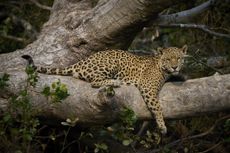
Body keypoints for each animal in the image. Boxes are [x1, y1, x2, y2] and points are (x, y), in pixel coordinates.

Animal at [21, 44, 188, 134]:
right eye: (168, 59)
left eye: (179, 58)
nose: (175, 66)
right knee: (94, 82)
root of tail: (81, 62)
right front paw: (162, 126)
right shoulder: (148, 87)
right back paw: (115, 82)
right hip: (111, 63)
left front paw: (181, 75)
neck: (162, 68)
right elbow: (157, 107)